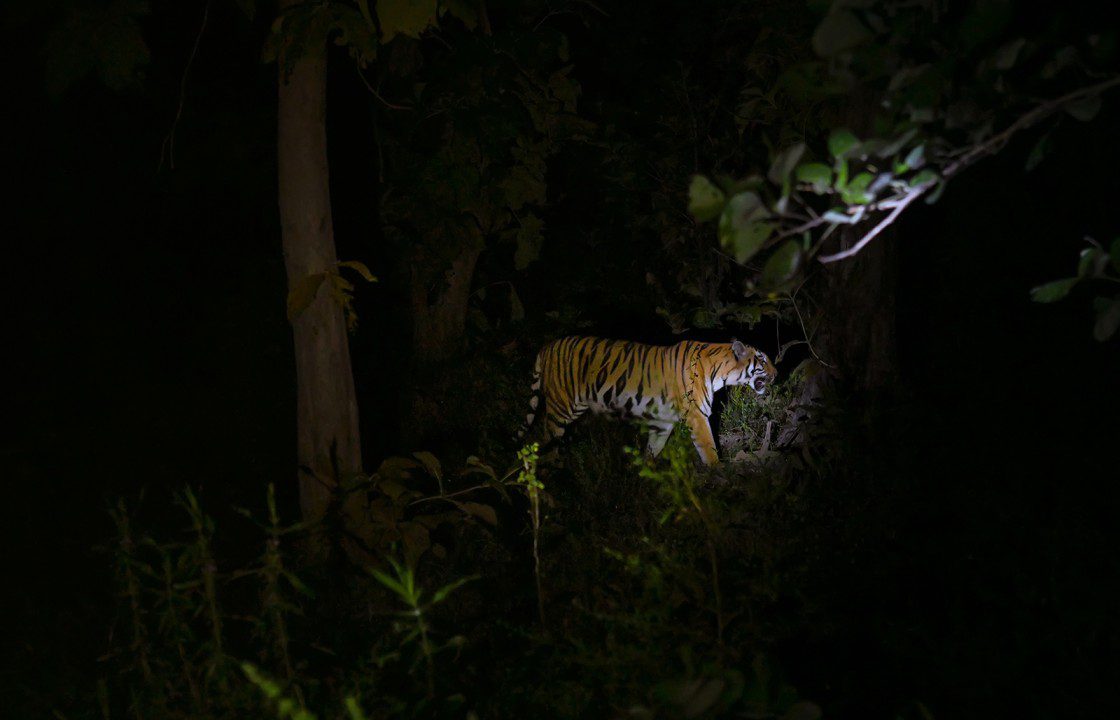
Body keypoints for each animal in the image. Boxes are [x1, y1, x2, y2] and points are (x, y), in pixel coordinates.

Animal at [517, 335, 775, 465]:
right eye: (762, 359)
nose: (778, 372)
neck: (719, 371)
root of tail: (547, 346)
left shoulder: (663, 423)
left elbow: (653, 450)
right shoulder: (697, 415)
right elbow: (709, 450)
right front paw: (719, 477)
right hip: (561, 408)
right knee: (544, 439)